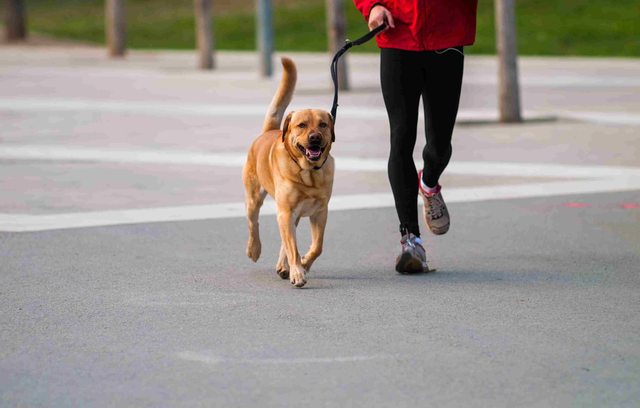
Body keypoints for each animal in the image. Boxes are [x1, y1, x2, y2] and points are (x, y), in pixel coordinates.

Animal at [242, 57, 336, 288]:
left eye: (323, 124)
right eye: (301, 125)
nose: (314, 138)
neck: (308, 173)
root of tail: (268, 131)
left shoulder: (320, 212)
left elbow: (317, 246)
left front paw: (304, 263)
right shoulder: (285, 211)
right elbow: (292, 246)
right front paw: (298, 272)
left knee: (286, 240)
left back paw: (285, 267)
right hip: (255, 198)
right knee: (253, 224)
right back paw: (254, 249)